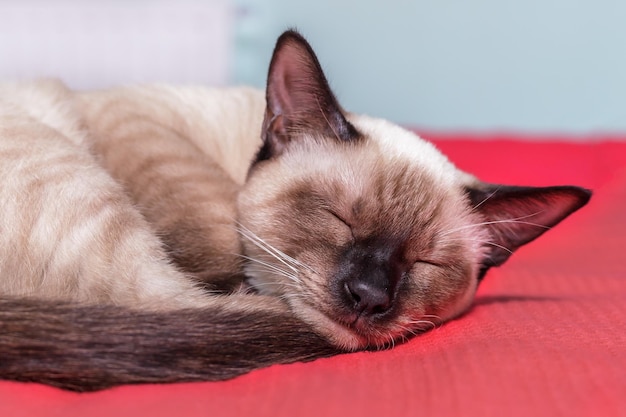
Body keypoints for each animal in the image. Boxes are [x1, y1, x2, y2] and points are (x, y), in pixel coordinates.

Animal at [0, 30, 588, 390]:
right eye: (338, 217)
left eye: (426, 263)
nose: (367, 296)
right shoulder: (141, 124)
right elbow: (221, 251)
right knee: (176, 309)